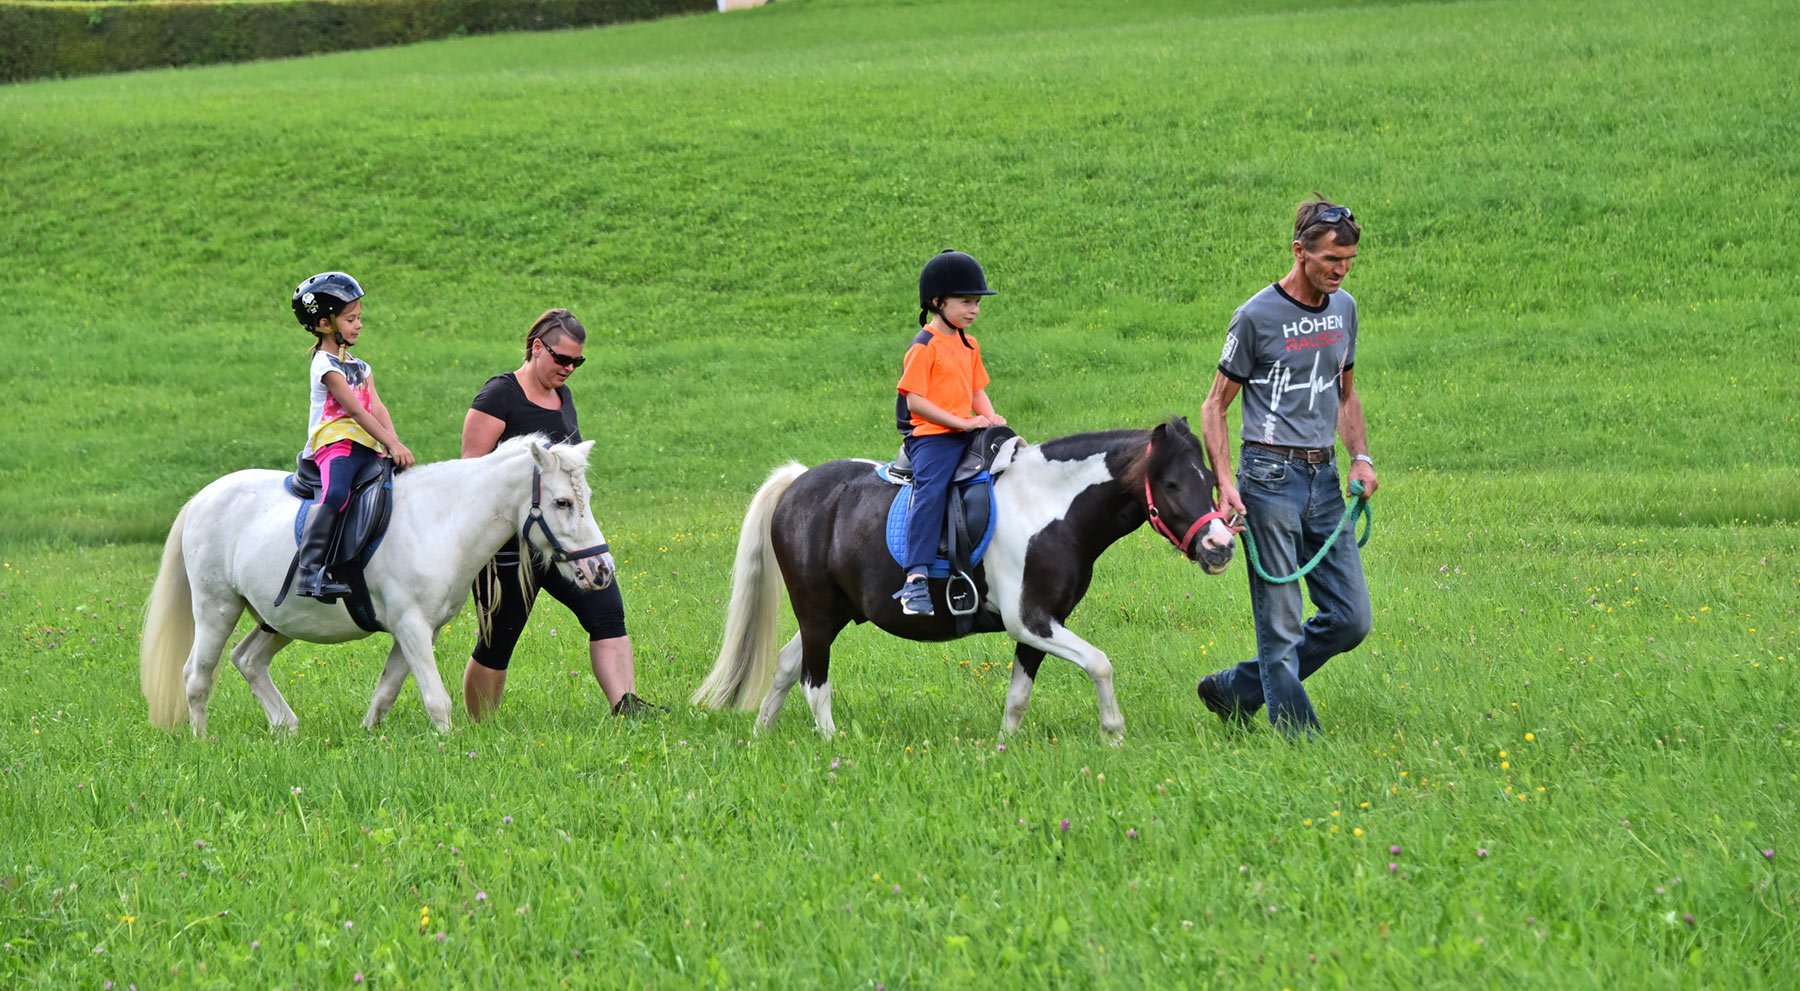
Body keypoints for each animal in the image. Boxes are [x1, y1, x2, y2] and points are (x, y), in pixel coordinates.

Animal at [135, 437, 612, 737]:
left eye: (586, 498)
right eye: (562, 502)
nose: (602, 570)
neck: (441, 521)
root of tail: (202, 498)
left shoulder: (419, 631)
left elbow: (386, 692)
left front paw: (369, 737)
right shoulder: (412, 626)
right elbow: (436, 698)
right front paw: (450, 746)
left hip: (277, 619)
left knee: (248, 660)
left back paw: (286, 728)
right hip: (216, 609)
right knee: (197, 675)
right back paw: (202, 740)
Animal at [691, 413, 1238, 744]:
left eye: (1211, 481)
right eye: (1171, 483)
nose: (1221, 546)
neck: (1050, 507)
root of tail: (799, 484)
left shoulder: (1040, 625)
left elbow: (1018, 696)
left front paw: (1003, 747)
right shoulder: (1031, 620)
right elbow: (1100, 664)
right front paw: (1114, 733)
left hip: (833, 614)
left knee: (787, 666)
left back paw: (761, 736)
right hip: (818, 612)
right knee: (813, 682)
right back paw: (834, 746)